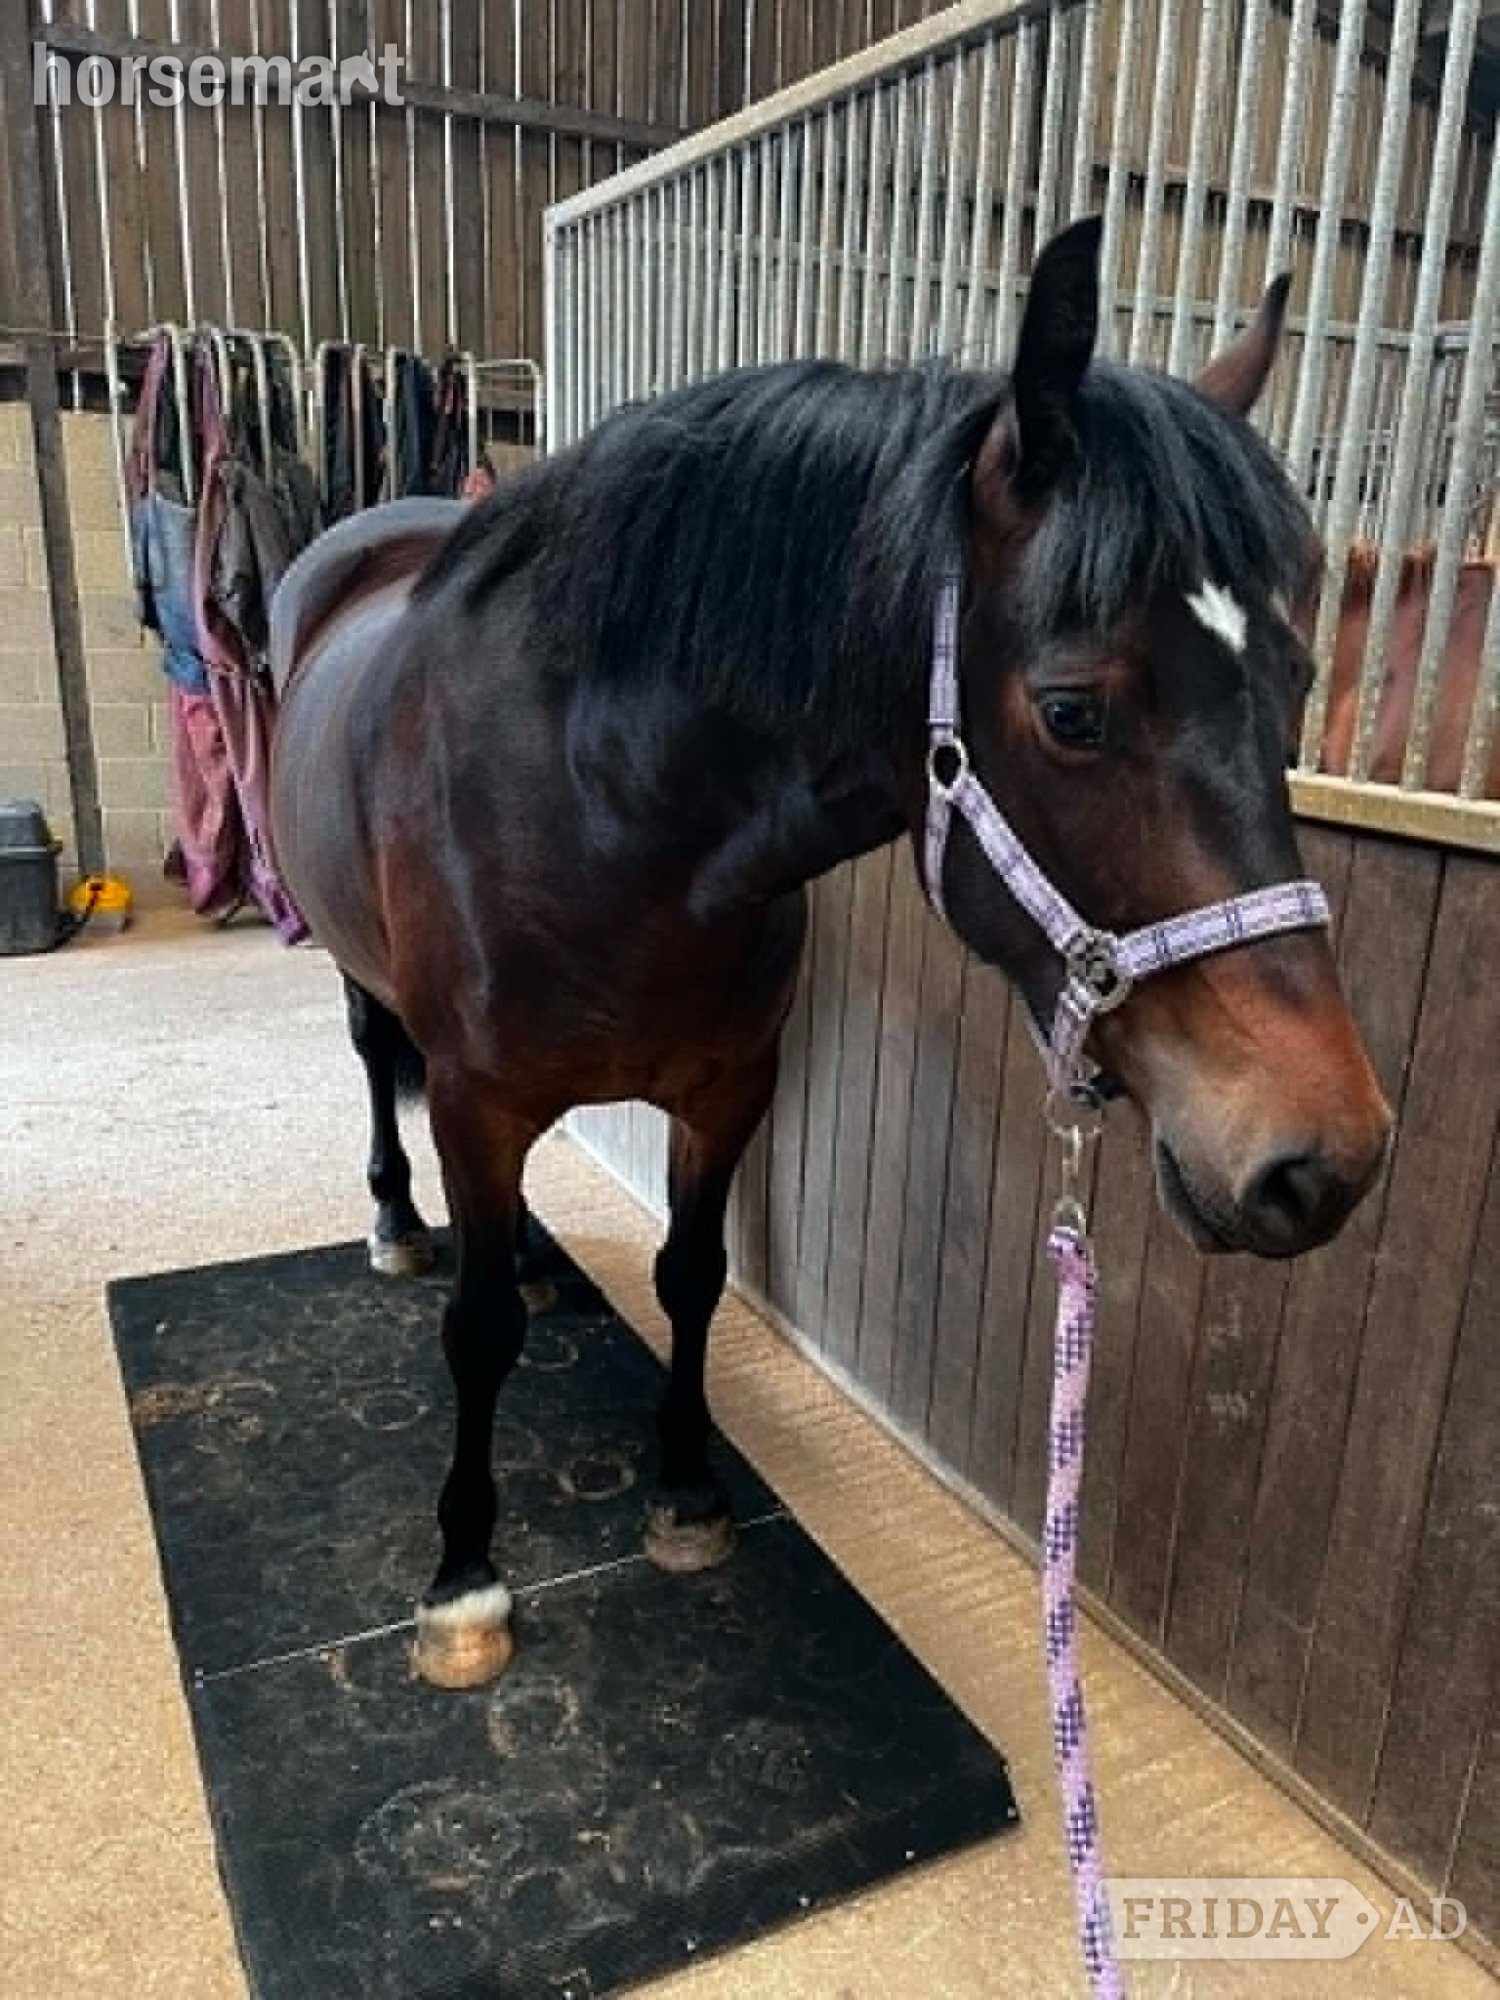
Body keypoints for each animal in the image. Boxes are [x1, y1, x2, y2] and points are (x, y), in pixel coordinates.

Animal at [268, 218, 1392, 1691]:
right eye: (1071, 710)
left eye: (1297, 682)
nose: (1326, 1156)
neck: (598, 803)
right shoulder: (476, 1096)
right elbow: (479, 1333)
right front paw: (464, 1574)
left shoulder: (730, 1084)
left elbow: (691, 1273)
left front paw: (685, 1491)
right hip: (362, 985)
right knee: (372, 1075)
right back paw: (401, 1225)